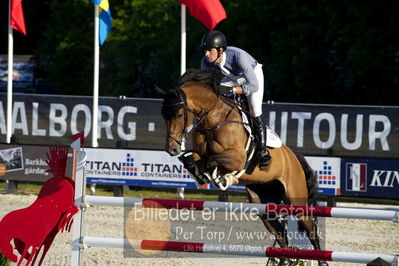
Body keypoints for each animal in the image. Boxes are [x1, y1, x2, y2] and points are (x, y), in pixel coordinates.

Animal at [162, 68, 328, 264]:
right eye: (163, 116)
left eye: (179, 114)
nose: (171, 149)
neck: (214, 118)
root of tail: (294, 156)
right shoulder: (200, 154)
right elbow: (192, 160)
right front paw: (203, 176)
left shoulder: (238, 158)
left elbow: (212, 161)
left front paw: (224, 178)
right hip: (264, 204)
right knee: (280, 234)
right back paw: (285, 260)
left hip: (296, 198)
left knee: (310, 228)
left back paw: (322, 260)